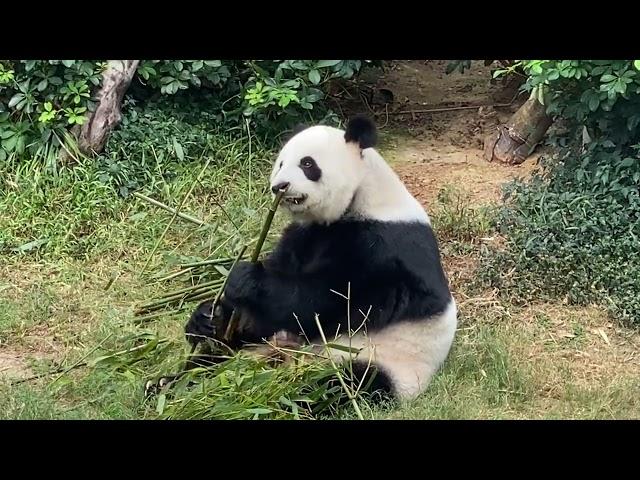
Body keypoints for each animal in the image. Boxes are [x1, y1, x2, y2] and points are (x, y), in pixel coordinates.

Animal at [182, 114, 458, 400]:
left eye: (307, 163)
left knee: (335, 386)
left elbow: (323, 301)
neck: (362, 196)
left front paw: (246, 278)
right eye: (281, 163)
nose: (279, 186)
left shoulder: (384, 248)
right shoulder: (304, 236)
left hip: (376, 362)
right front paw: (208, 317)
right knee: (208, 363)